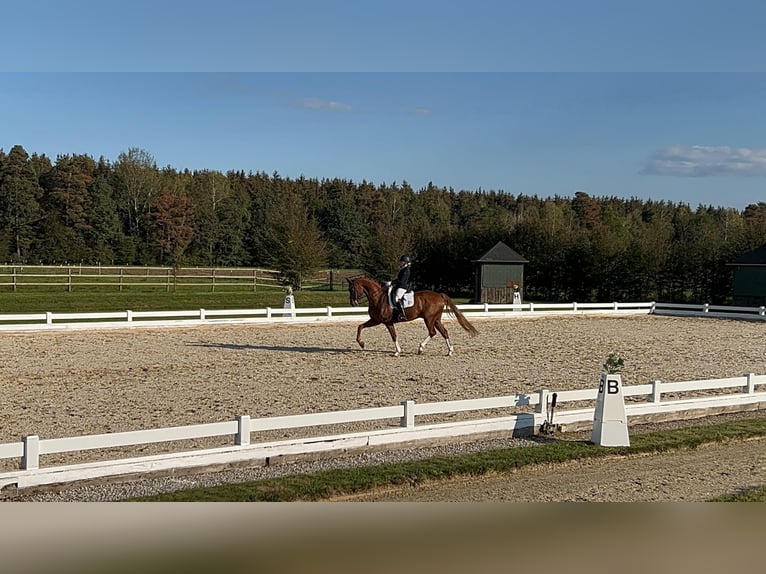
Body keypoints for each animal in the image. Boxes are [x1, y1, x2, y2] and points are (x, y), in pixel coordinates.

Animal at [350, 276, 480, 358]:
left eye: (353, 289)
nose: (353, 303)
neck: (378, 298)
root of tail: (439, 295)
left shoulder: (386, 322)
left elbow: (394, 336)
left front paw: (397, 352)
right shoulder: (376, 320)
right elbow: (360, 326)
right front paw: (361, 343)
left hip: (429, 319)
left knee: (433, 332)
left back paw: (421, 348)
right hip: (436, 319)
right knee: (444, 332)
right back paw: (450, 351)